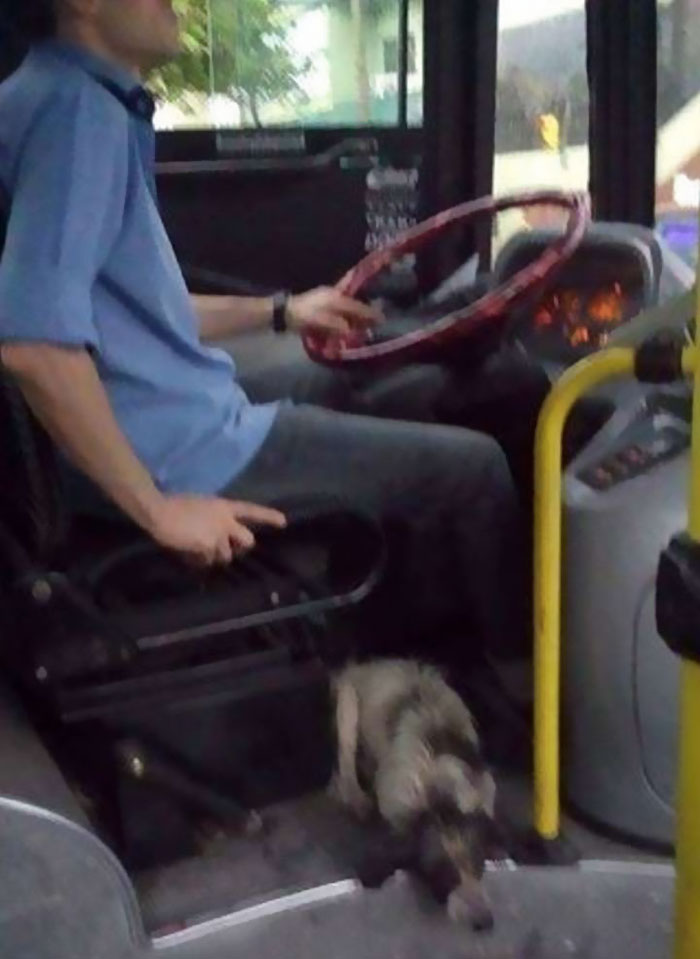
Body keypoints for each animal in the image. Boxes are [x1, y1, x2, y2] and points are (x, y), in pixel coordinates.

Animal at [332, 660, 500, 928]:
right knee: (347, 761)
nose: (484, 922)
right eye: (443, 874)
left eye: (479, 864)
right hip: (348, 705)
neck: (439, 793)